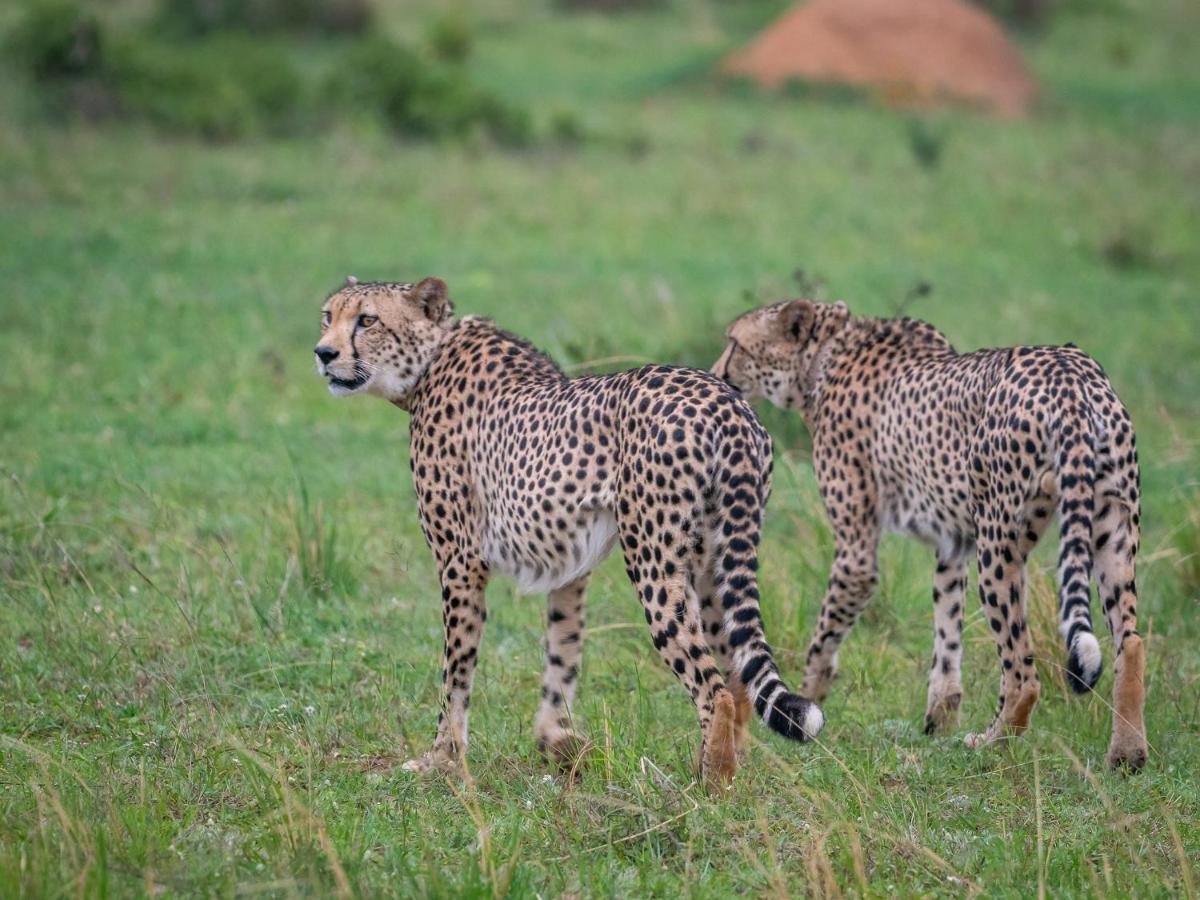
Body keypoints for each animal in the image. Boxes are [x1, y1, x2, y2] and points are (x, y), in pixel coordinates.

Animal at [312, 277, 825, 787]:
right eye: (327, 315)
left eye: (368, 320)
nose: (323, 353)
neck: (432, 359)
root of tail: (726, 400)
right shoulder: (569, 568)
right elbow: (563, 654)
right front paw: (558, 743)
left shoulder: (460, 562)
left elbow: (456, 673)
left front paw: (441, 759)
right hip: (711, 560)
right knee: (737, 679)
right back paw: (722, 771)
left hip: (655, 564)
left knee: (713, 688)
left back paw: (709, 788)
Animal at [705, 300, 1147, 772]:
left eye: (735, 343)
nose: (717, 372)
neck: (825, 353)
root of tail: (1069, 371)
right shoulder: (954, 542)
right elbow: (947, 632)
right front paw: (939, 720)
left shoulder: (858, 552)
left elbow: (824, 640)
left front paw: (802, 707)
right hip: (1111, 528)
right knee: (1130, 642)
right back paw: (1127, 754)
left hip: (999, 546)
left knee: (1023, 672)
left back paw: (990, 745)